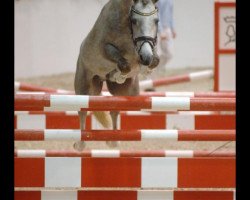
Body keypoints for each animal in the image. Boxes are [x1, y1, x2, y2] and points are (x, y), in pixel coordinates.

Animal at [74, 0, 160, 149]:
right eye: (134, 20)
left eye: (157, 21)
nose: (146, 57)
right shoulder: (105, 48)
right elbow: (122, 63)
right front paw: (119, 75)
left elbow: (154, 60)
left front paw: (145, 69)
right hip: (85, 87)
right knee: (83, 110)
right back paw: (80, 144)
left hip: (128, 92)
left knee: (115, 108)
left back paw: (113, 141)